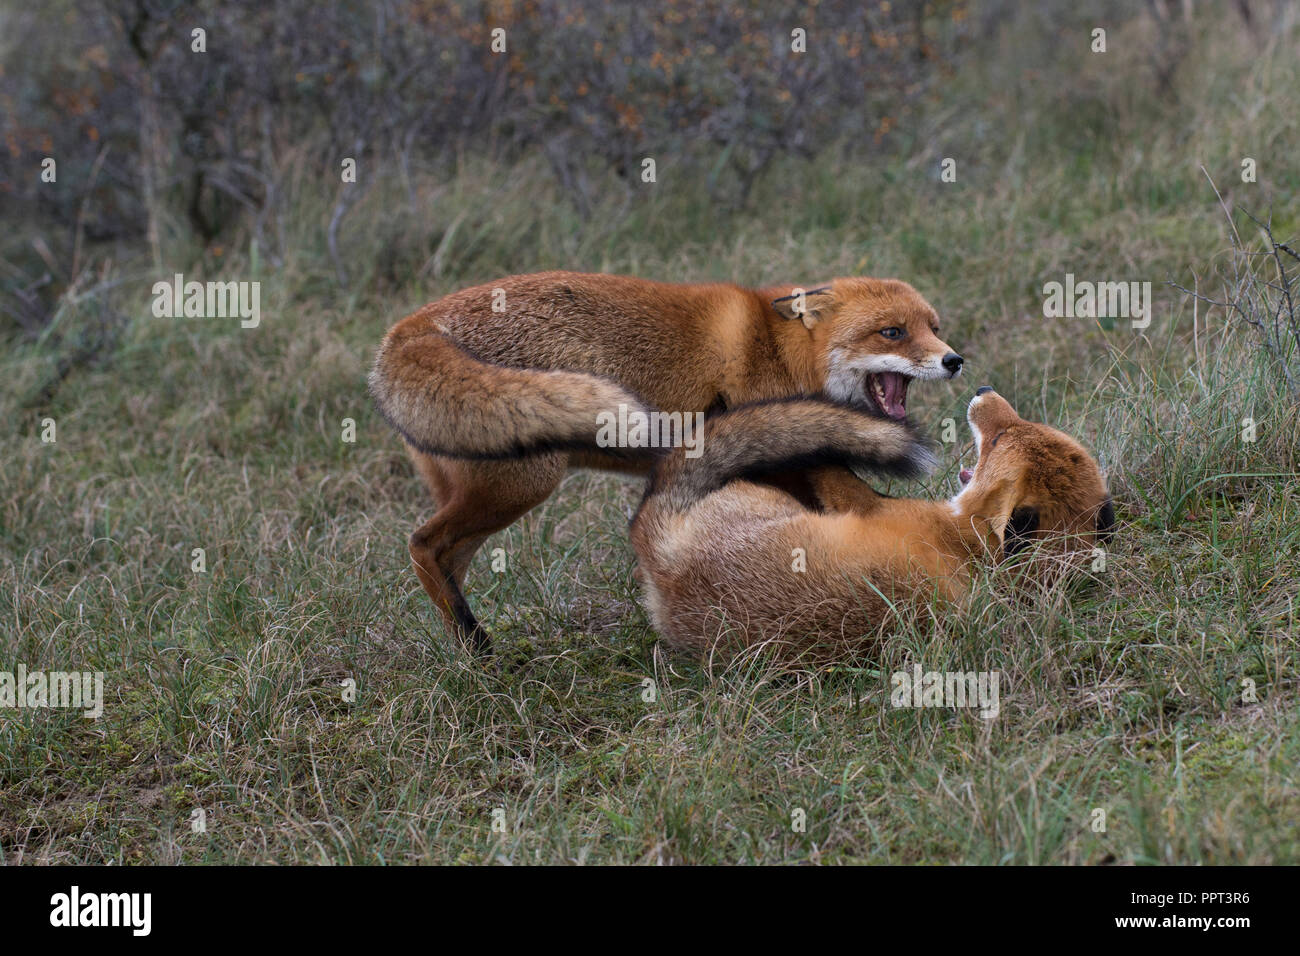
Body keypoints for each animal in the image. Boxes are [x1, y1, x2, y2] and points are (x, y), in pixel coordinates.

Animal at [371, 273, 961, 655]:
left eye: (934, 327)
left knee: (441, 559)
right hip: (522, 483)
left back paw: (474, 648)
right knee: (423, 545)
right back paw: (481, 654)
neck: (780, 351)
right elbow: (863, 500)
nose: (955, 360)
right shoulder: (787, 450)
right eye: (892, 332)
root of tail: (412, 325)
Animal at [631, 390, 1118, 665]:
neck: (973, 549)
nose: (983, 390)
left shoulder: (866, 505)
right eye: (1020, 423)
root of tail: (661, 555)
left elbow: (837, 474)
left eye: (997, 440)